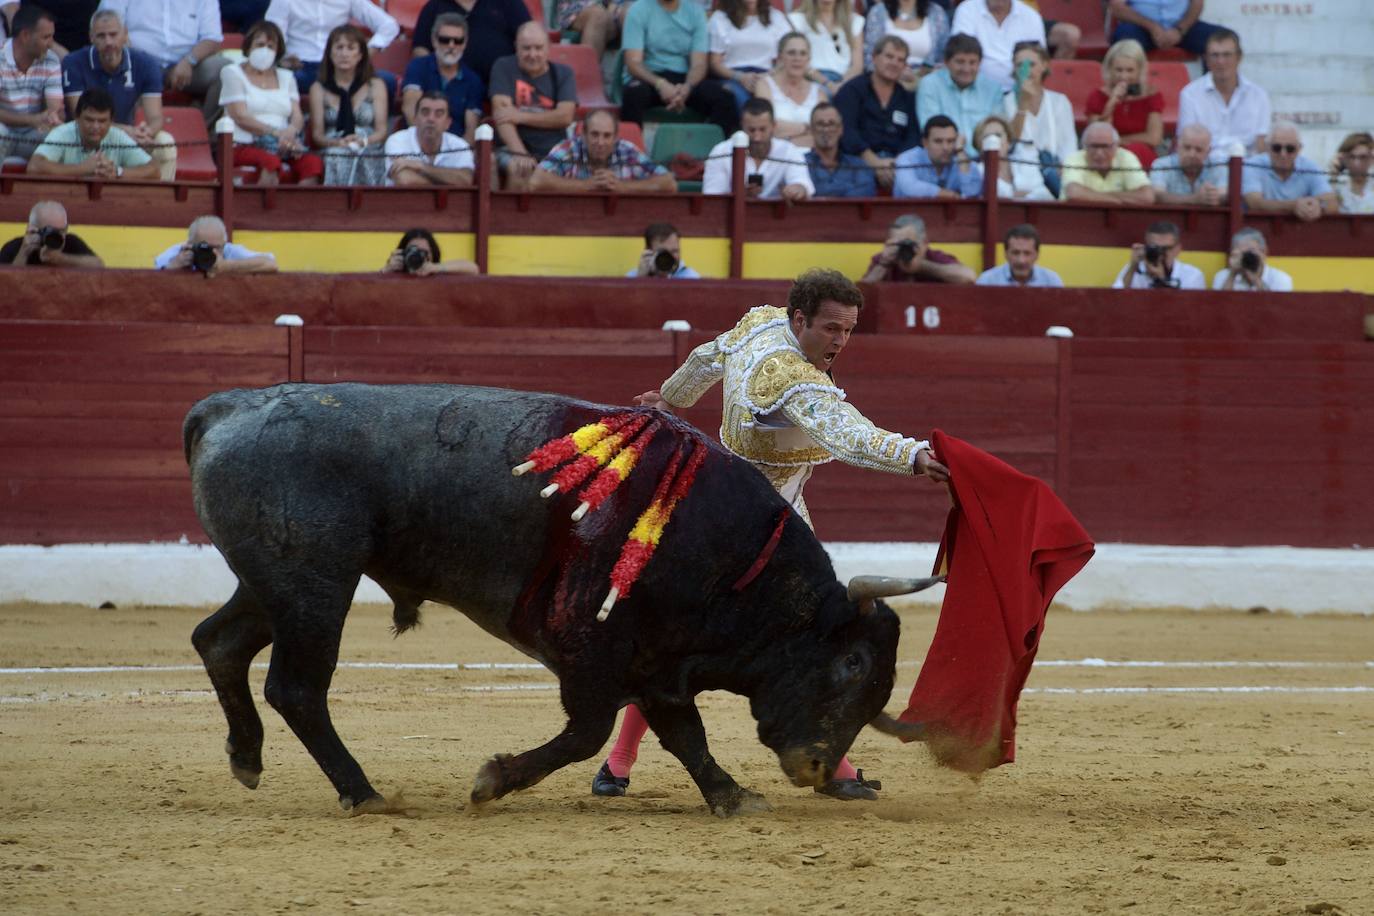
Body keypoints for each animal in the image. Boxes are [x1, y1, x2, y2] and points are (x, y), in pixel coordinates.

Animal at [182, 381, 934, 818]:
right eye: (853, 665)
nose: (815, 767)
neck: (739, 565)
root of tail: (225, 407)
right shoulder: (594, 651)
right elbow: (591, 730)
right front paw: (493, 780)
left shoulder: (656, 661)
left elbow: (683, 732)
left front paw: (729, 794)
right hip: (315, 586)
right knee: (297, 687)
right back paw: (361, 791)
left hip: (275, 586)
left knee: (219, 642)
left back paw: (247, 758)